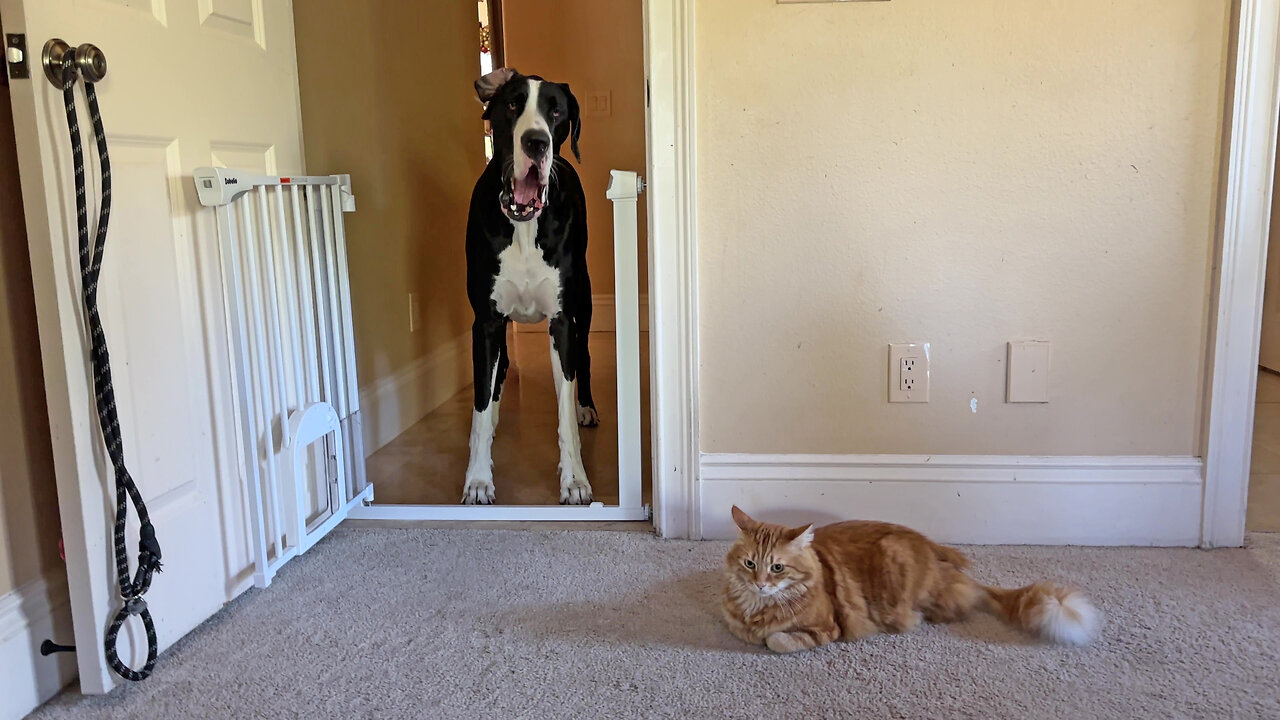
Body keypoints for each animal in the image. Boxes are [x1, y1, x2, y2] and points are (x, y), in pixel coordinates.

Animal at [727, 504, 1095, 650]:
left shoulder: (827, 628)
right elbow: (743, 630)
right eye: (749, 564)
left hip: (897, 565)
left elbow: (775, 640)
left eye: (777, 568)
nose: (760, 583)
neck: (756, 608)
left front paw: (769, 636)